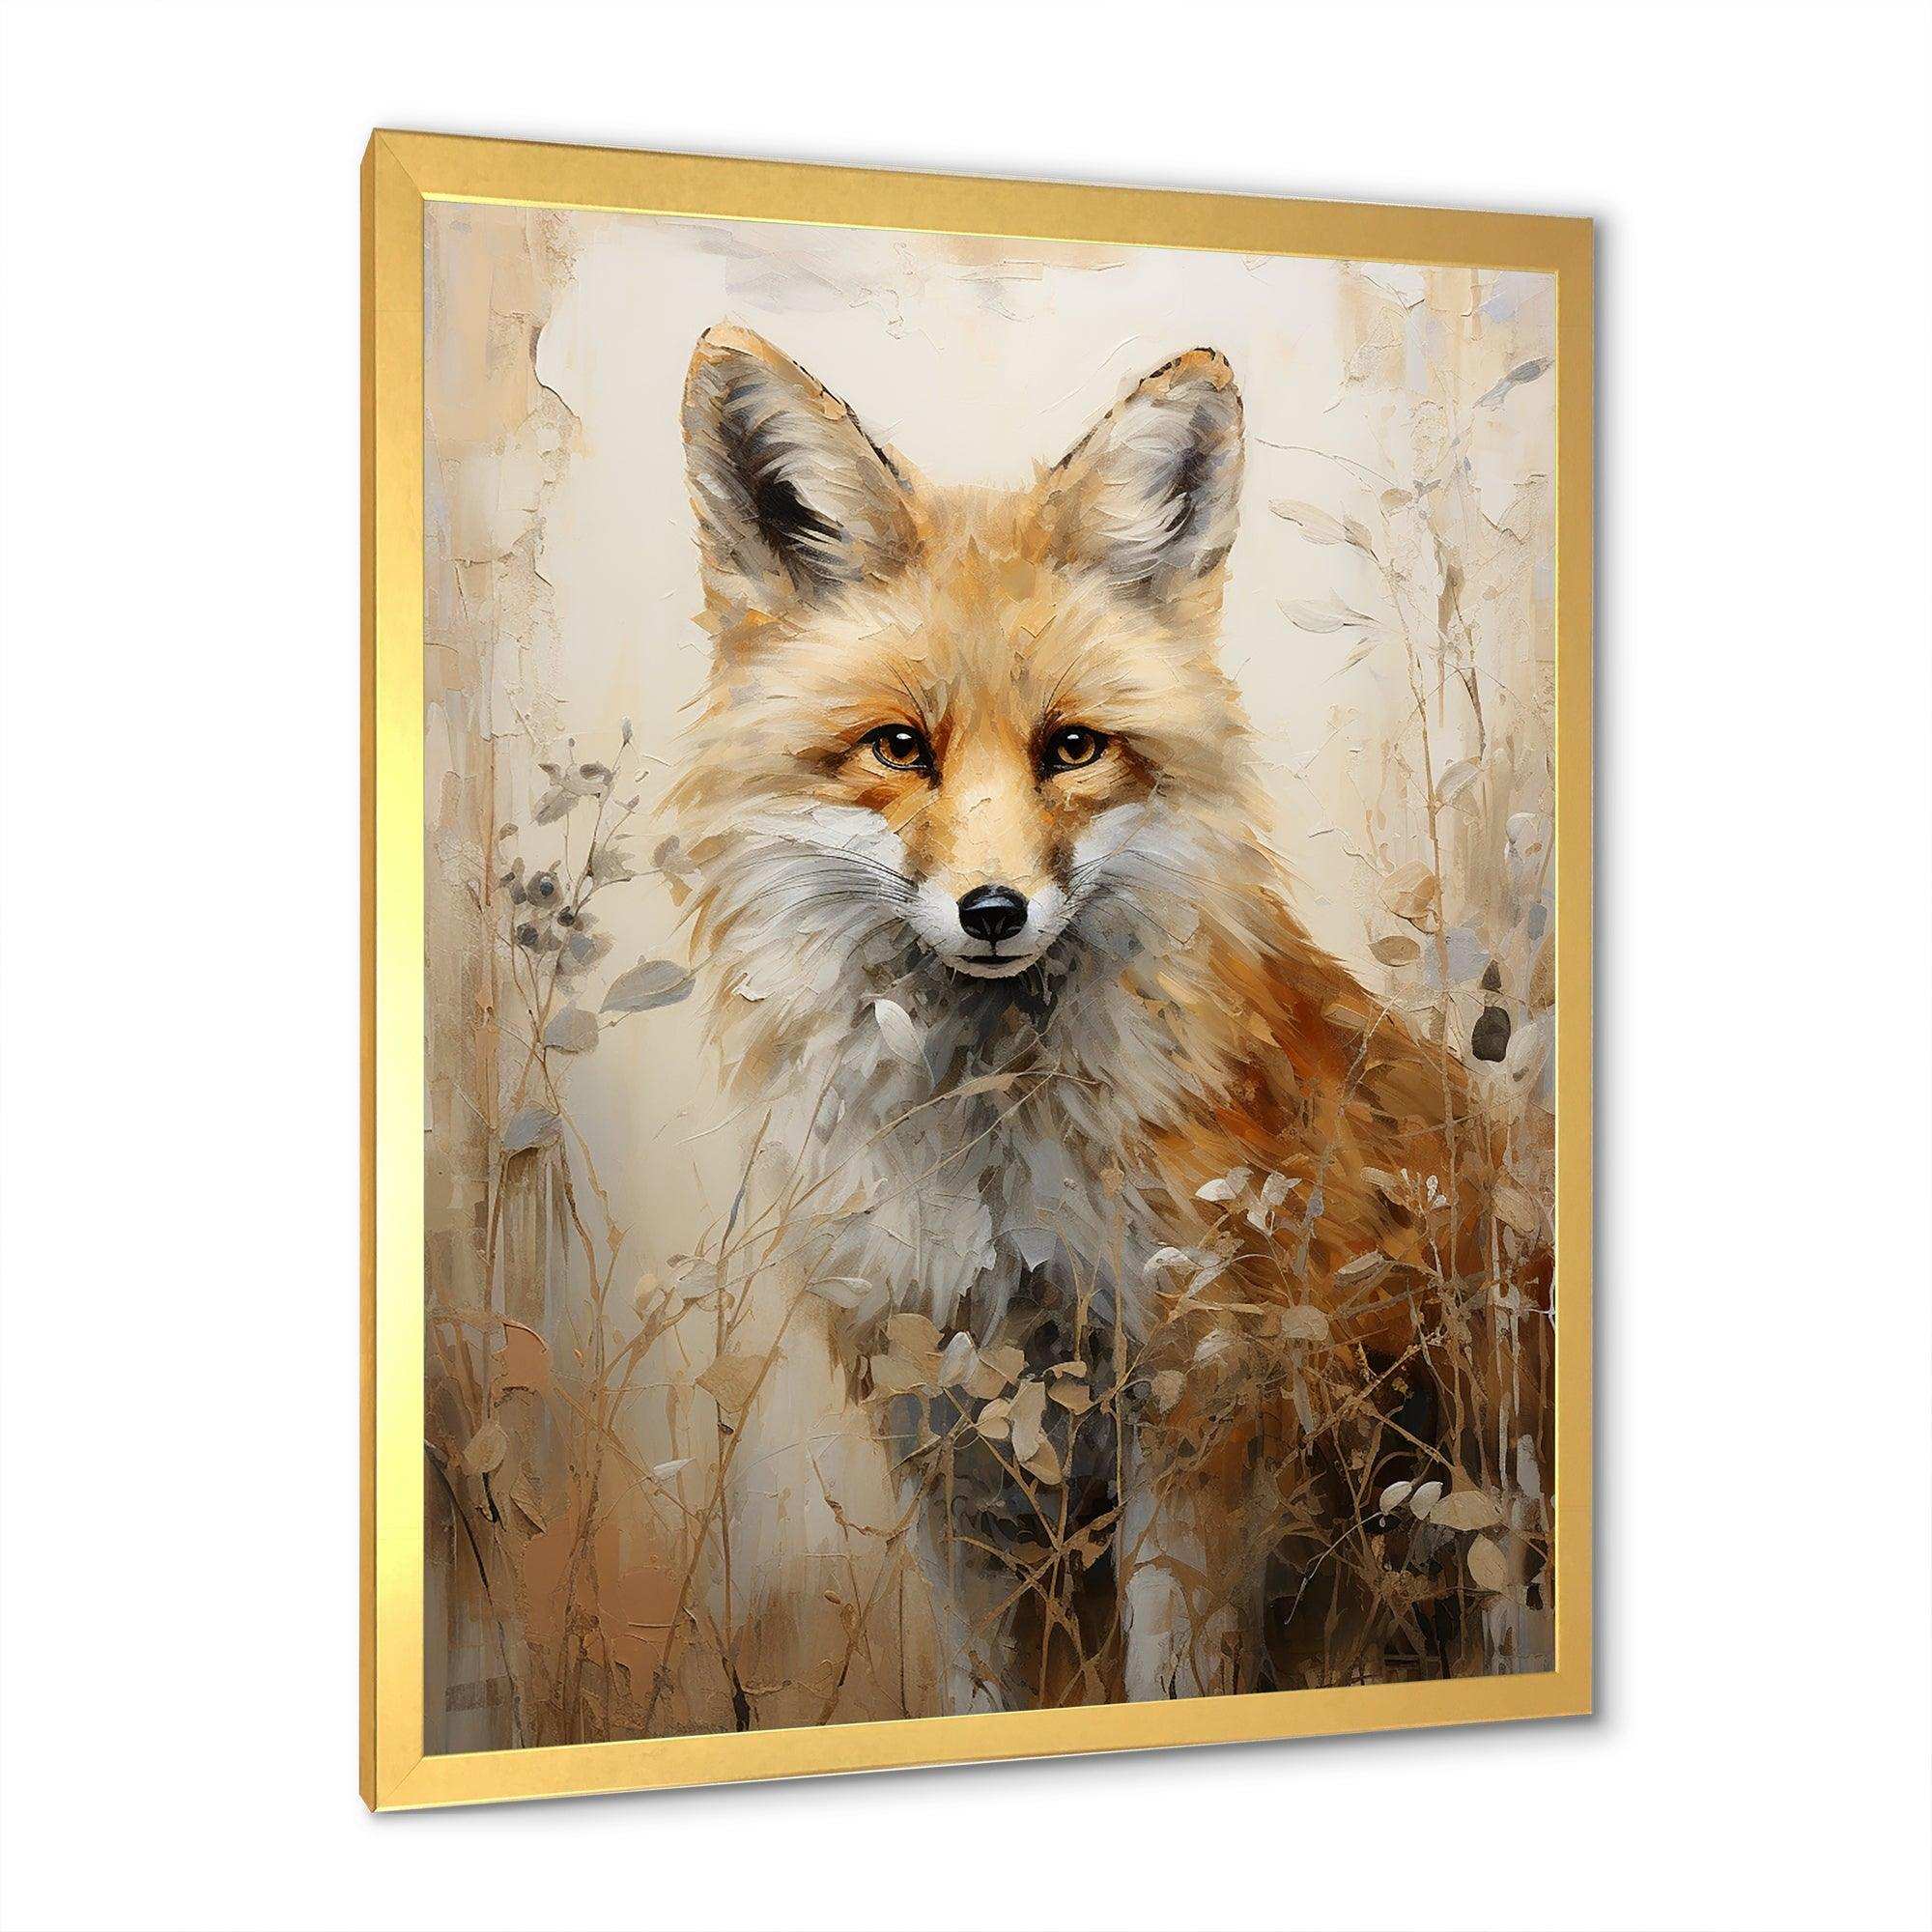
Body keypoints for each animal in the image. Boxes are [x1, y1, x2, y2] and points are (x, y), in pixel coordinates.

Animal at [670, 324, 1537, 1711]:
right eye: (899, 747)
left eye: (1072, 748)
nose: (991, 911)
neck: (990, 1164)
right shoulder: (944, 1429)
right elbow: (978, 1688)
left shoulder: (1196, 1405)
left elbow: (1170, 1671)